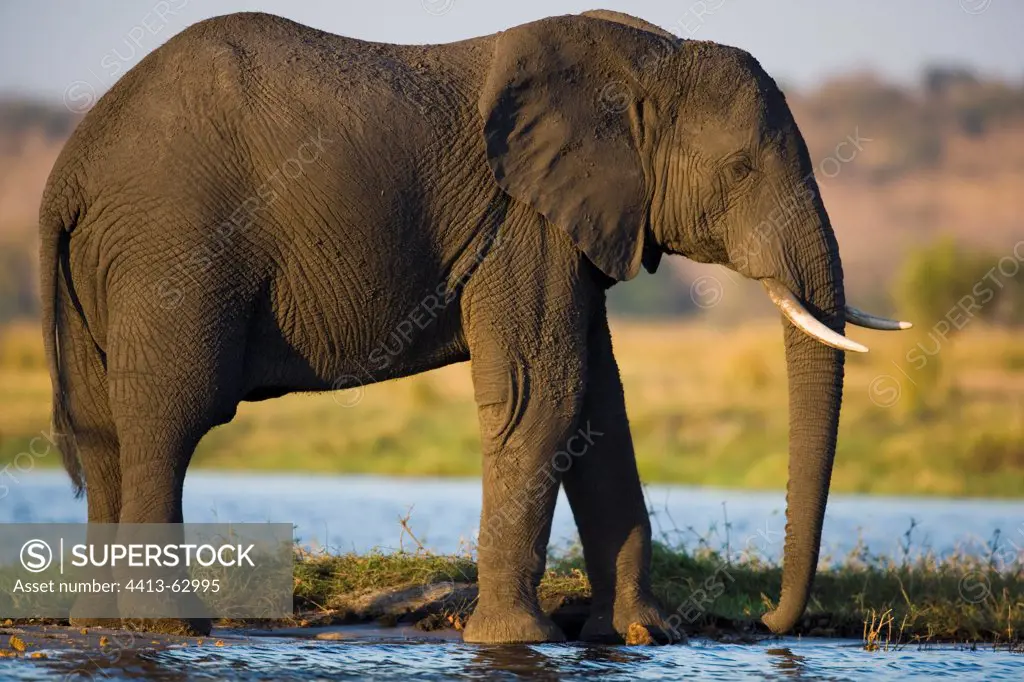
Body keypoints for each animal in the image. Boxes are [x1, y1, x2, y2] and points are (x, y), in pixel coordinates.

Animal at [37, 10, 913, 643]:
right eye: (739, 171)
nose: (766, 622)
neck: (647, 59)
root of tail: (70, 170)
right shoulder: (522, 221)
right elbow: (546, 395)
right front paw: (514, 640)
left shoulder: (571, 223)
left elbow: (601, 411)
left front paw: (641, 636)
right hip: (174, 251)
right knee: (169, 420)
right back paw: (173, 632)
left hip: (113, 264)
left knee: (103, 433)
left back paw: (98, 628)